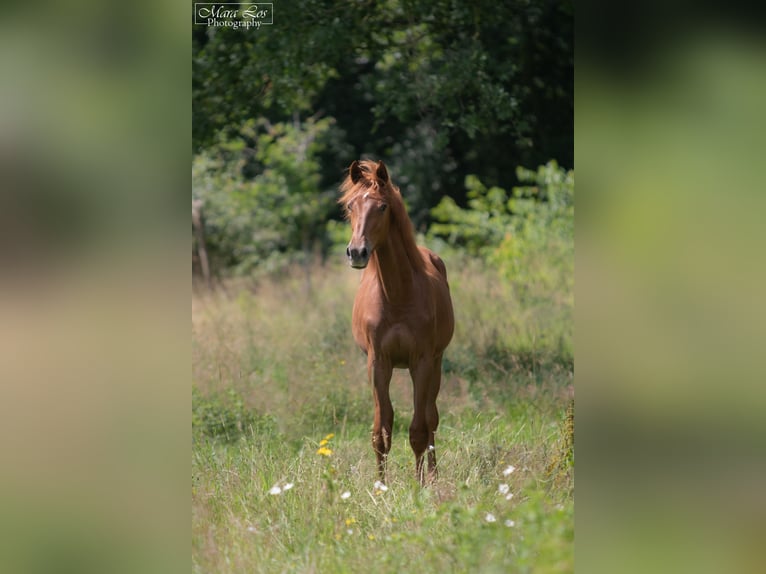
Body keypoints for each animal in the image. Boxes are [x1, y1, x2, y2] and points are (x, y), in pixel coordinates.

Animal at [340, 161, 452, 486]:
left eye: (382, 207)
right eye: (350, 205)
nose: (357, 252)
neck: (398, 295)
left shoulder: (421, 361)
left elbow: (418, 430)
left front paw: (420, 485)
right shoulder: (378, 362)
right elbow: (382, 430)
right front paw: (381, 485)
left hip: (437, 363)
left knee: (431, 418)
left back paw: (434, 475)